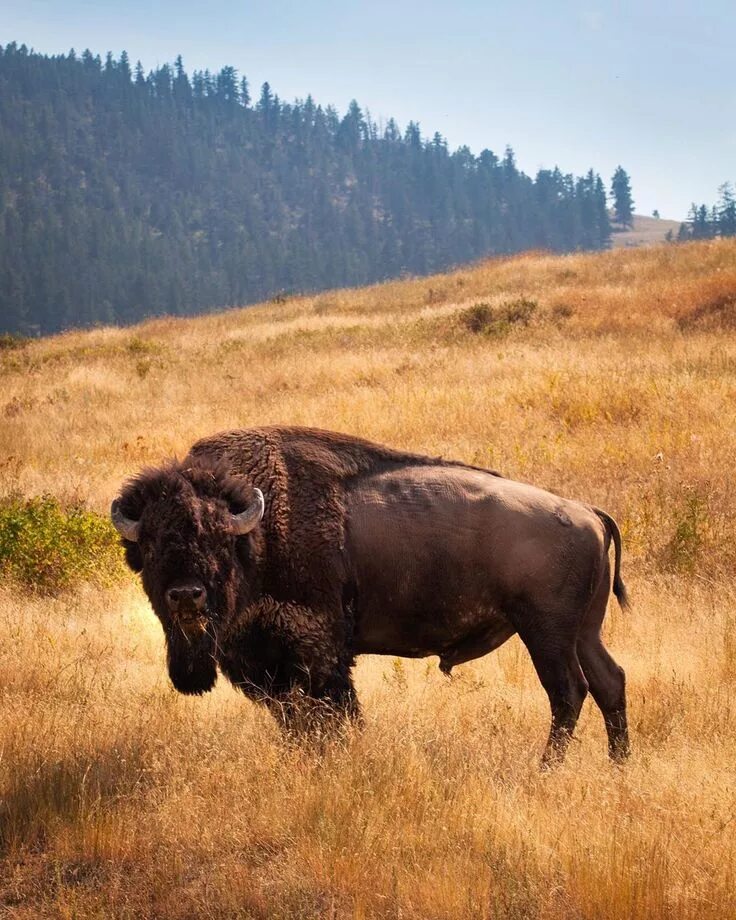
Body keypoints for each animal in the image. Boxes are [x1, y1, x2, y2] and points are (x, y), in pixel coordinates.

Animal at [112, 428, 628, 764]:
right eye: (151, 545)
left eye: (219, 539)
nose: (186, 596)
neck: (260, 530)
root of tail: (587, 512)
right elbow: (294, 719)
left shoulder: (318, 652)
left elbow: (332, 712)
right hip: (584, 632)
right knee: (609, 682)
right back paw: (617, 764)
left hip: (545, 632)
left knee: (568, 692)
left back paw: (546, 769)